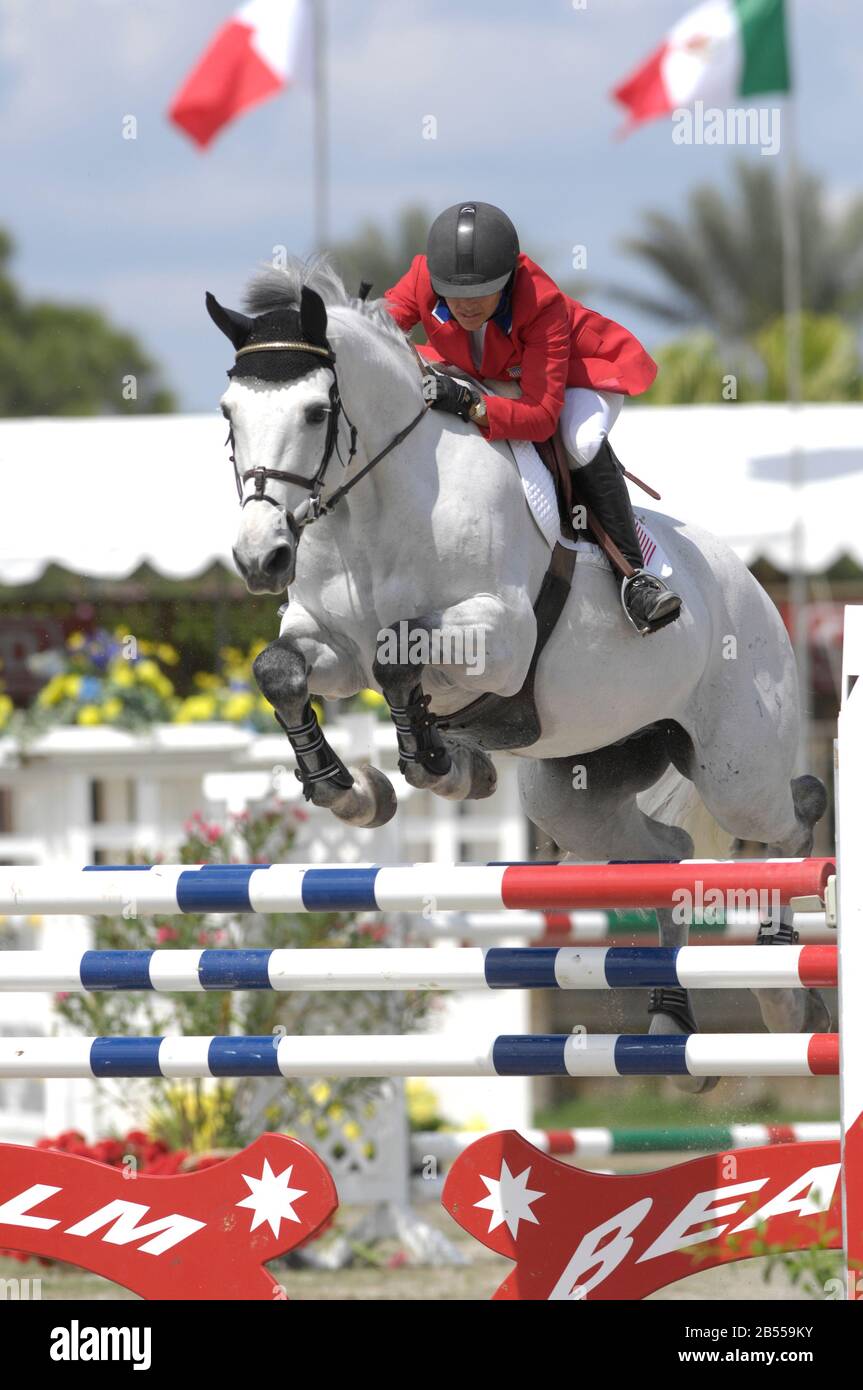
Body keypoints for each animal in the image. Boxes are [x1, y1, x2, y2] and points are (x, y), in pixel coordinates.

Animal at [207, 261, 828, 1084]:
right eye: (228, 413)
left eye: (314, 411)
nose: (260, 558)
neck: (372, 513)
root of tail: (755, 589)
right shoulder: (326, 646)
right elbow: (282, 670)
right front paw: (354, 791)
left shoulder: (496, 638)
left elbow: (396, 656)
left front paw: (439, 763)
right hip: (576, 790)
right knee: (665, 852)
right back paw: (669, 1022)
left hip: (737, 773)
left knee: (792, 815)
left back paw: (785, 996)